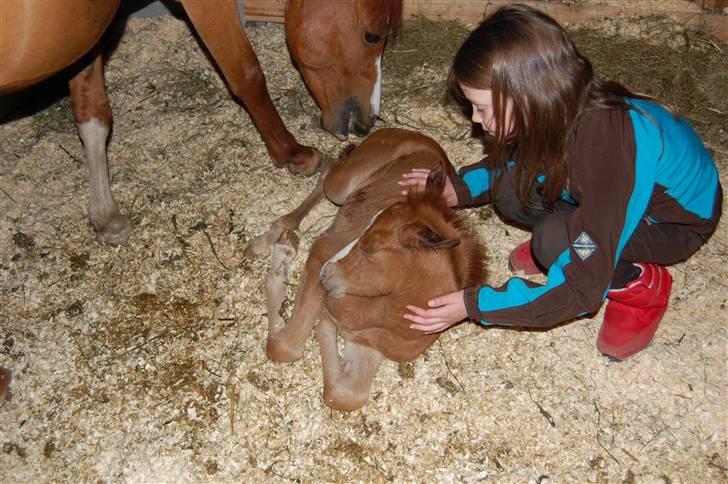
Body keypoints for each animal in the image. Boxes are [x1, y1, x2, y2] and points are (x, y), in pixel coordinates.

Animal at [0, 0, 400, 242]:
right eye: (372, 35)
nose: (367, 122)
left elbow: (92, 112)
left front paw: (106, 216)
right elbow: (246, 72)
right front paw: (292, 153)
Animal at [247, 126, 486, 410]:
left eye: (371, 248)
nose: (327, 272)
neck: (382, 314)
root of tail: (408, 132)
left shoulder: (367, 345)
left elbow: (344, 395)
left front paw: (324, 324)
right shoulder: (322, 251)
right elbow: (286, 347)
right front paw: (281, 261)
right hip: (342, 185)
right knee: (329, 170)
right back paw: (267, 240)